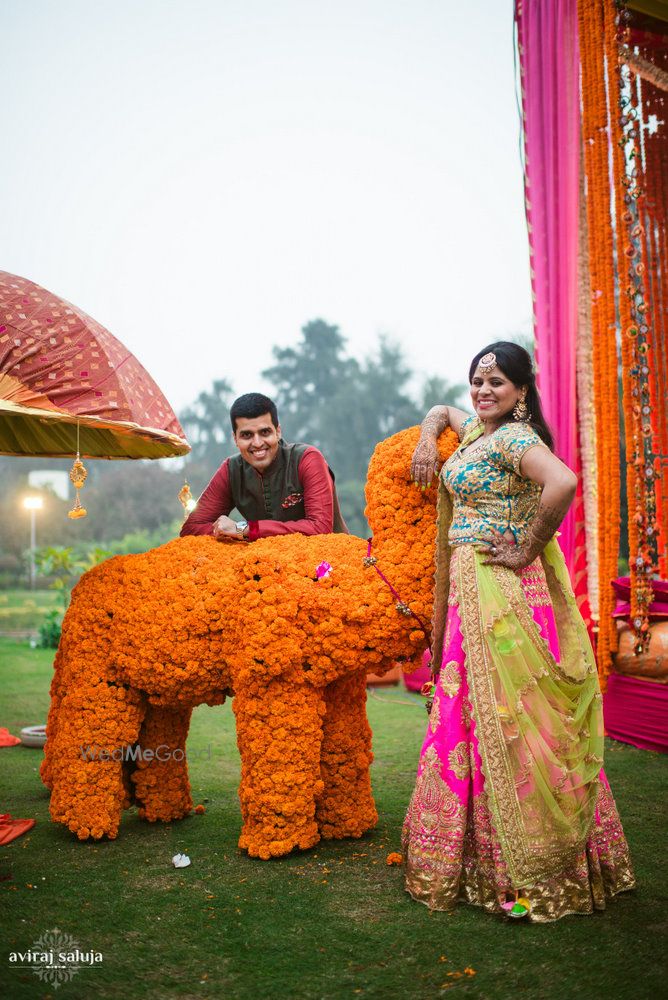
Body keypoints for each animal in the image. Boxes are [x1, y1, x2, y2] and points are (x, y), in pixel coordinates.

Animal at [41, 426, 460, 856]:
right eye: (451, 440)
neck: (349, 573)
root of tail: (79, 588)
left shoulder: (340, 679)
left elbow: (345, 743)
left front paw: (351, 829)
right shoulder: (271, 667)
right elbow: (280, 746)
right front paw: (278, 845)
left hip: (154, 681)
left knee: (161, 724)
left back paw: (165, 813)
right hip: (93, 664)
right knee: (93, 727)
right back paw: (85, 825)